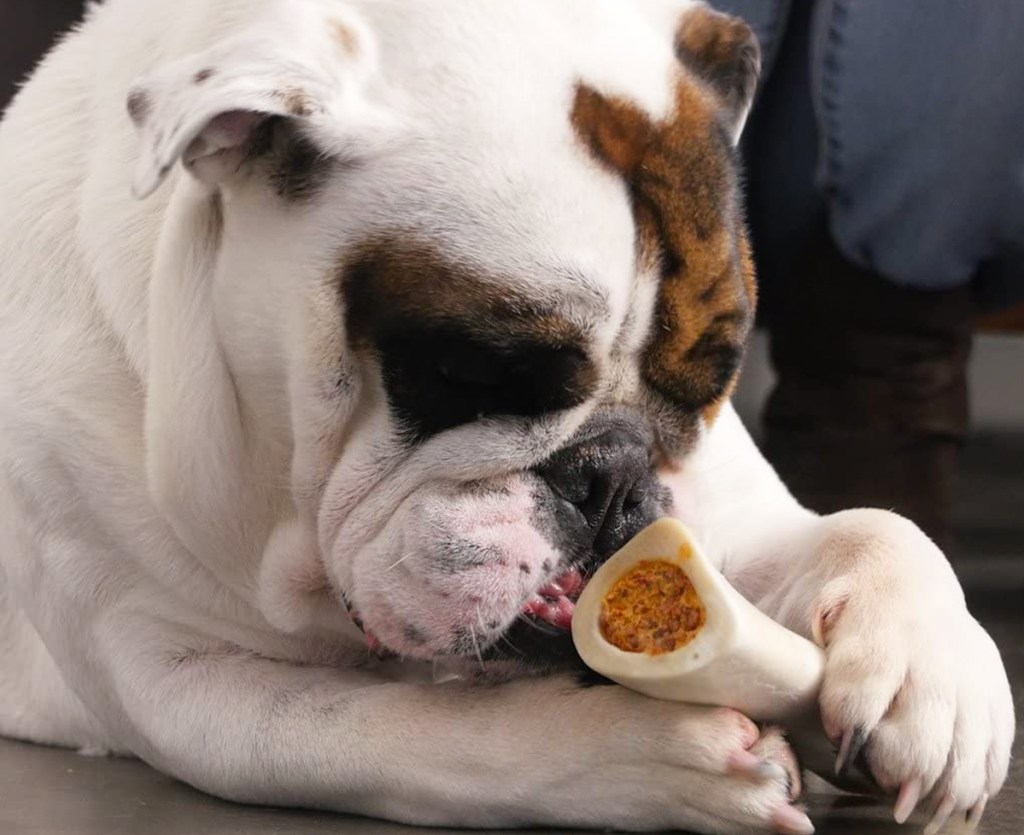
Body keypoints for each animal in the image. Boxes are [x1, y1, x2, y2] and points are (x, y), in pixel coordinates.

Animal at [0, 1, 1014, 832]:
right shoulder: (176, 680)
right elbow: (415, 727)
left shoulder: (733, 513)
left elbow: (873, 526)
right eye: (479, 369)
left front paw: (936, 673)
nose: (612, 472)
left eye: (712, 380)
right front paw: (651, 756)